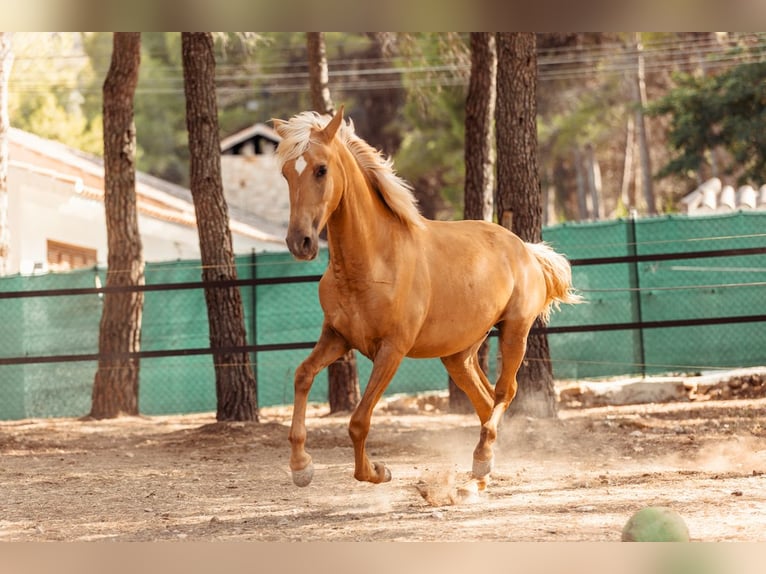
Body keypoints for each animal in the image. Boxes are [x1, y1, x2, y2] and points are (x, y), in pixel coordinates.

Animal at [272, 107, 580, 490]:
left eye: (321, 169)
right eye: (286, 172)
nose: (300, 242)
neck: (373, 261)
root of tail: (525, 249)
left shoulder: (392, 349)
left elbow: (358, 421)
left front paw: (377, 471)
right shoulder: (338, 337)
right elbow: (303, 375)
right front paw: (301, 467)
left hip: (515, 332)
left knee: (504, 392)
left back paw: (481, 461)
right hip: (458, 354)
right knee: (484, 400)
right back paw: (481, 471)